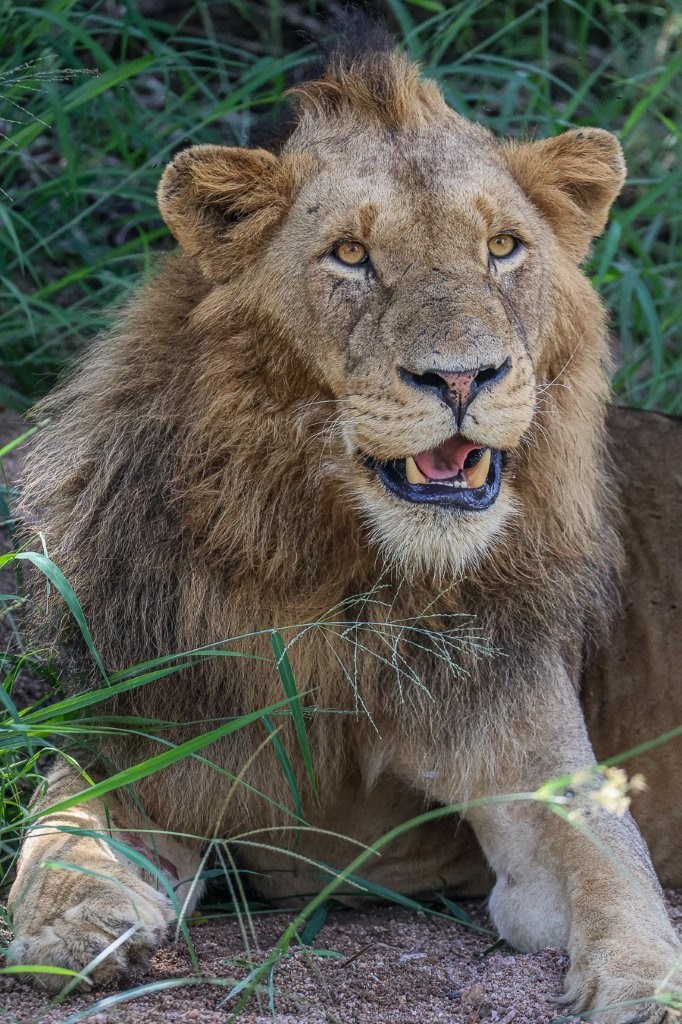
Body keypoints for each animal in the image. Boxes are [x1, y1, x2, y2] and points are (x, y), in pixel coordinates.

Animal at [7, 29, 682, 1023]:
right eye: (352, 254)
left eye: (503, 247)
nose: (462, 376)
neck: (346, 582)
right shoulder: (148, 726)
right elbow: (63, 824)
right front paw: (70, 922)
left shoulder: (535, 757)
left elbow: (614, 868)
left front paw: (648, 984)